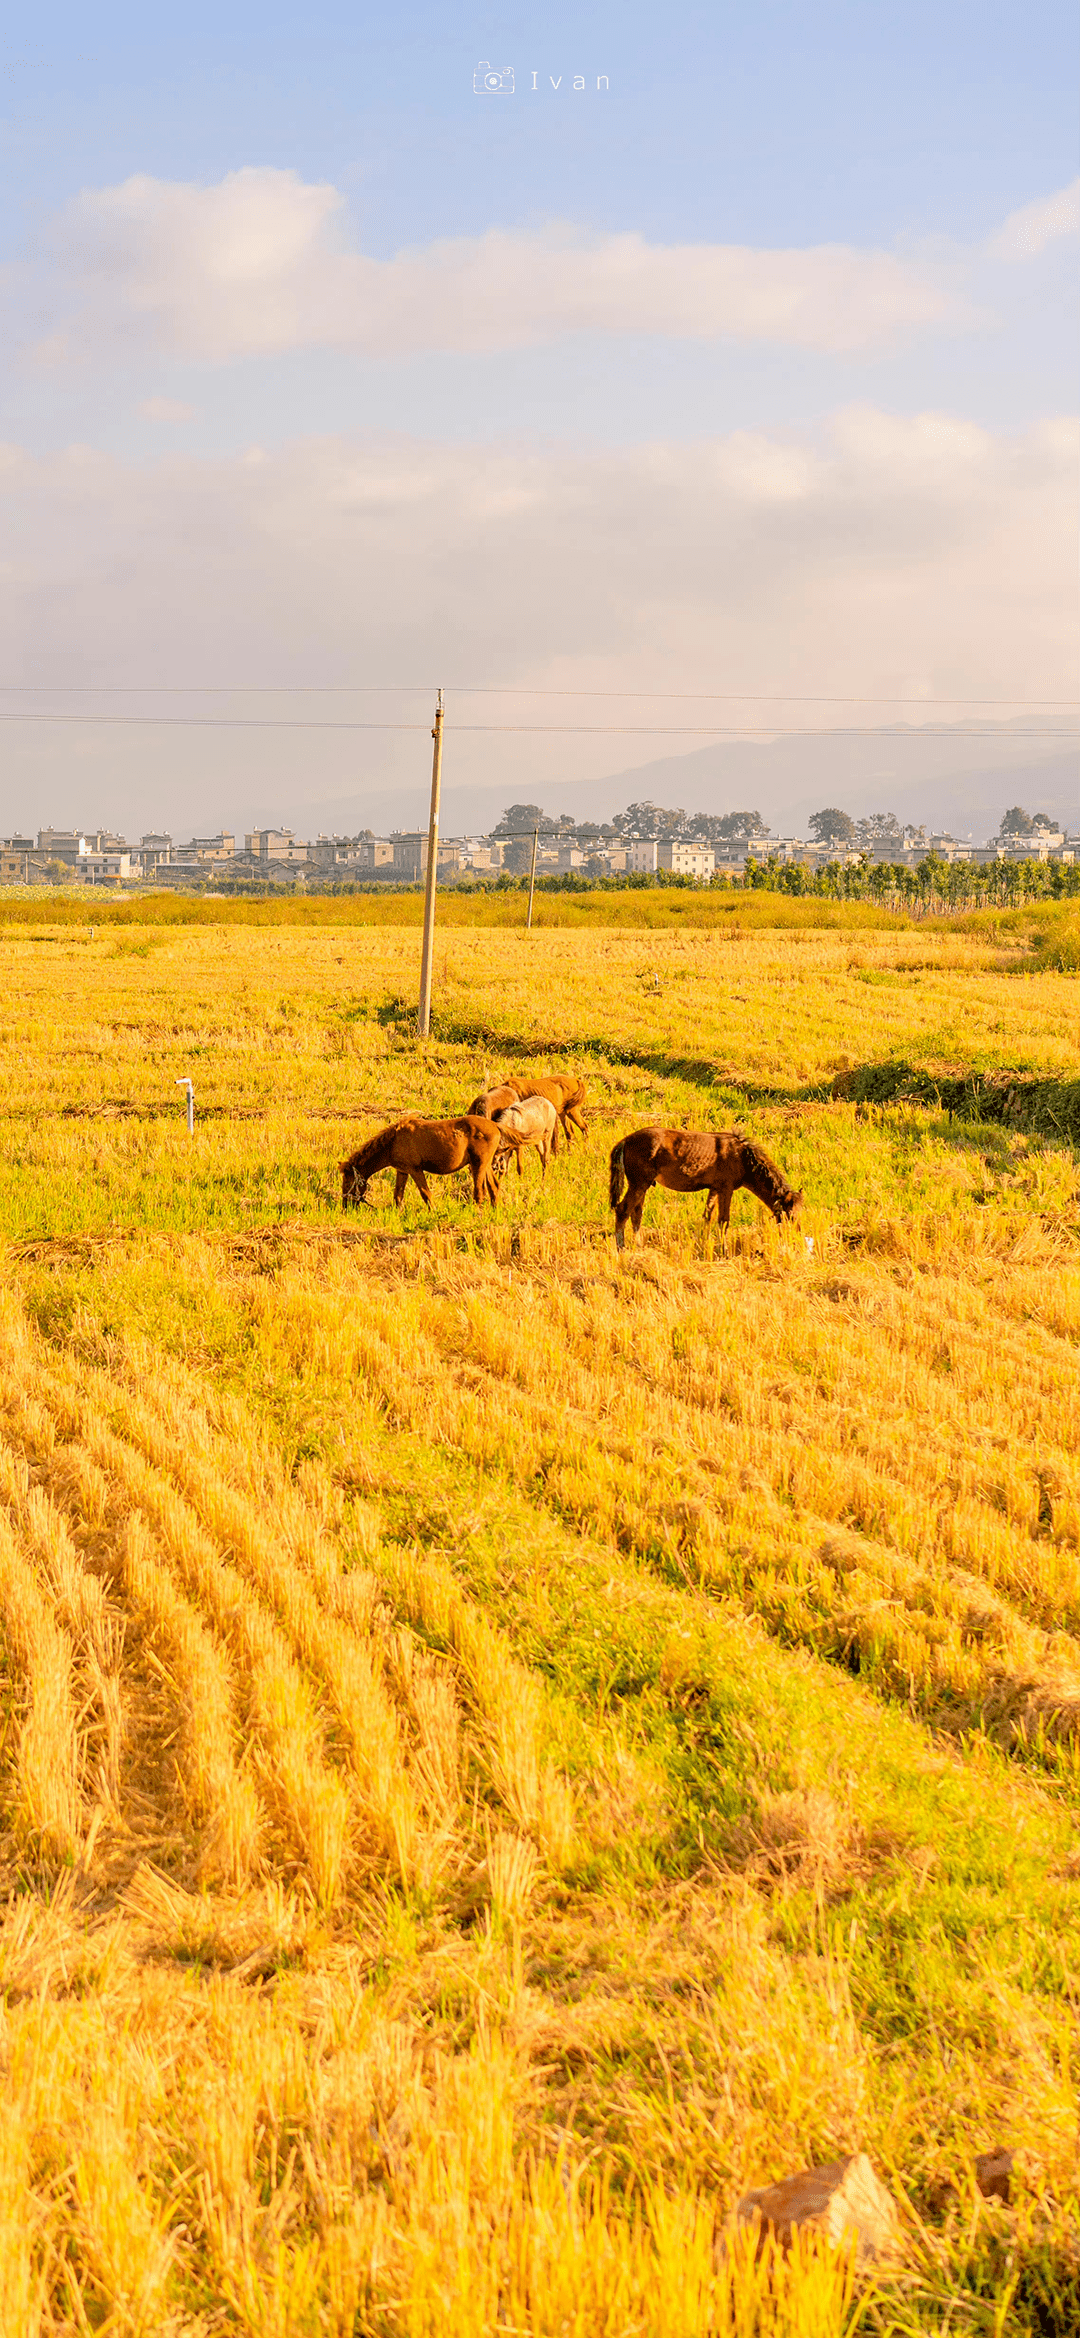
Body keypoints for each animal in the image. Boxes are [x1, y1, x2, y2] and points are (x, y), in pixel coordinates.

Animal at [338, 1117, 511, 1215]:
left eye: (347, 1183)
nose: (345, 1207)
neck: (393, 1141)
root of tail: (495, 1126)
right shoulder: (402, 1171)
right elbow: (398, 1195)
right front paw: (398, 1214)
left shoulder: (415, 1170)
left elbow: (425, 1193)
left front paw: (433, 1212)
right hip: (485, 1164)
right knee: (494, 1186)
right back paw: (495, 1211)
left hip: (478, 1164)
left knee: (479, 1192)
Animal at [607, 1126, 799, 1253]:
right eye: (790, 1214)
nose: (796, 1235)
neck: (742, 1157)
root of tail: (626, 1140)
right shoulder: (726, 1189)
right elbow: (723, 1221)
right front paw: (723, 1251)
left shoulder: (714, 1189)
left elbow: (707, 1216)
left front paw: (702, 1244)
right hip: (639, 1183)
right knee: (623, 1210)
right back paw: (621, 1247)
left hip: (643, 1185)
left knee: (636, 1214)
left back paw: (639, 1246)